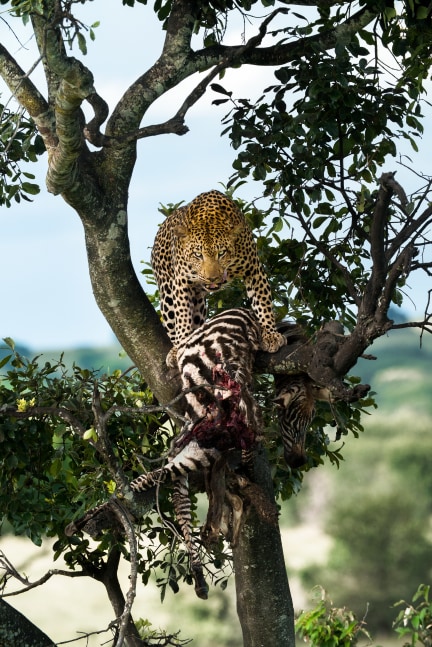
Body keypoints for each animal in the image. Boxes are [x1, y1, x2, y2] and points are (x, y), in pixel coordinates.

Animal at [152, 190, 286, 368]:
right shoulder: (181, 282)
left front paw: (270, 334)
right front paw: (180, 346)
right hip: (167, 293)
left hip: (199, 304)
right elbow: (182, 318)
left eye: (221, 253)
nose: (212, 278)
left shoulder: (253, 269)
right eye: (198, 254)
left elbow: (263, 303)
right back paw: (175, 349)